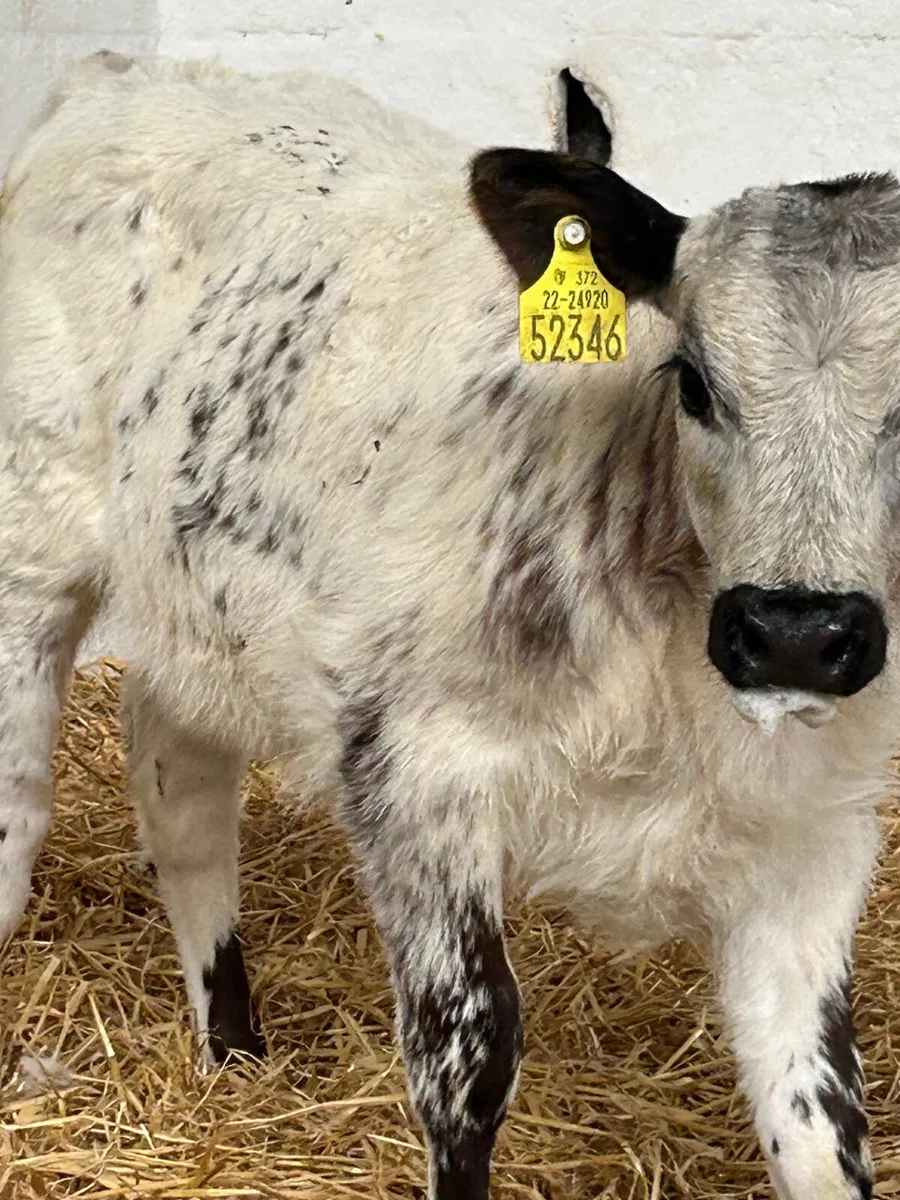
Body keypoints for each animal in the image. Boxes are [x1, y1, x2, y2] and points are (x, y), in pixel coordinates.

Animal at [0, 49, 897, 1200]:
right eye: (694, 381)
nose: (792, 632)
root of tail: (124, 72)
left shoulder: (816, 837)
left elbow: (822, 1108)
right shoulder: (414, 771)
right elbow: (469, 1055)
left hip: (201, 601)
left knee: (180, 790)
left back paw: (231, 1048)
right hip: (32, 552)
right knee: (22, 805)